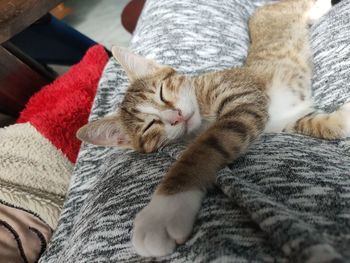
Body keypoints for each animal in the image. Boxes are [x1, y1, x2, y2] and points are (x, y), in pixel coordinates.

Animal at [77, 0, 344, 258]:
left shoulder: (244, 99)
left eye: (162, 92)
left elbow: (202, 150)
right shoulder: (280, 119)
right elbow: (313, 123)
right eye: (150, 126)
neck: (200, 101)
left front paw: (164, 209)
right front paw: (341, 120)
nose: (176, 116)